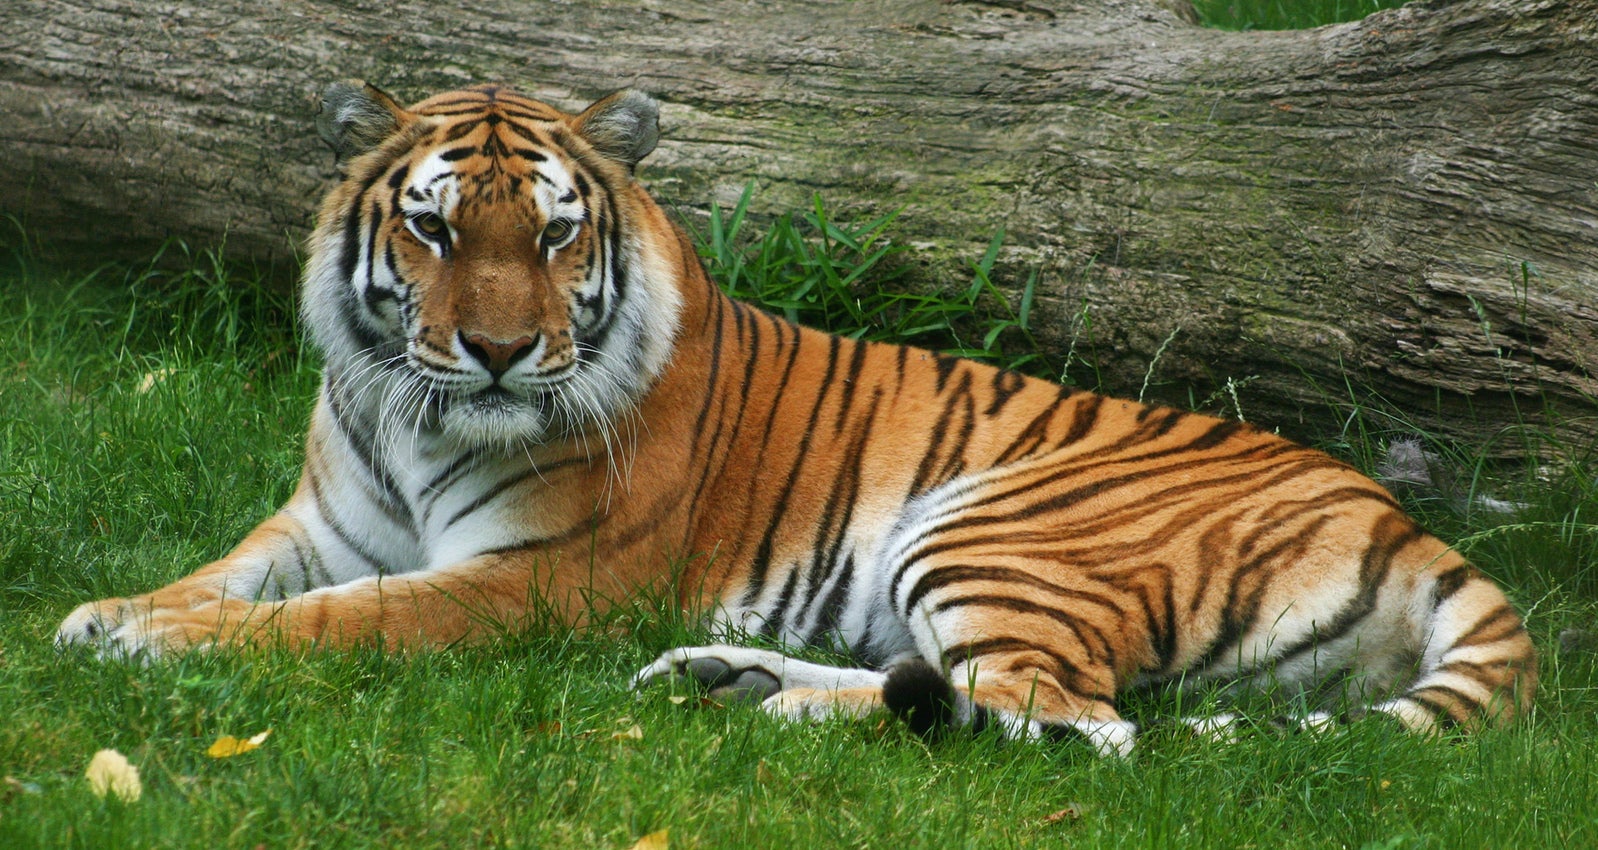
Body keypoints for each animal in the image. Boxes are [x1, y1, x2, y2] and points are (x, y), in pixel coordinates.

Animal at [59, 81, 1534, 757]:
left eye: (552, 234)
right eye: (429, 232)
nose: (496, 351)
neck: (415, 419)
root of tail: (1398, 513)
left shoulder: (531, 578)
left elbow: (336, 620)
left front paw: (157, 644)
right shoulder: (321, 523)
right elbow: (226, 574)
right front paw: (111, 612)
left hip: (991, 527)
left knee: (1070, 723)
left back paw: (764, 697)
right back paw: (729, 680)